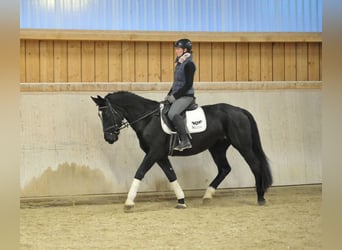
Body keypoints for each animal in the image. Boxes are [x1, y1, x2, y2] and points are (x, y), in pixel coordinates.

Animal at [91, 91, 272, 210]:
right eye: (100, 115)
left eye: (106, 114)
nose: (109, 138)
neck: (148, 119)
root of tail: (240, 110)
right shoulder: (160, 155)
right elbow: (171, 176)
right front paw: (181, 200)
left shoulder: (153, 153)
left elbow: (140, 172)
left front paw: (129, 202)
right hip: (217, 148)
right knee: (224, 169)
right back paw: (207, 196)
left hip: (242, 145)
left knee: (255, 165)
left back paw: (260, 197)